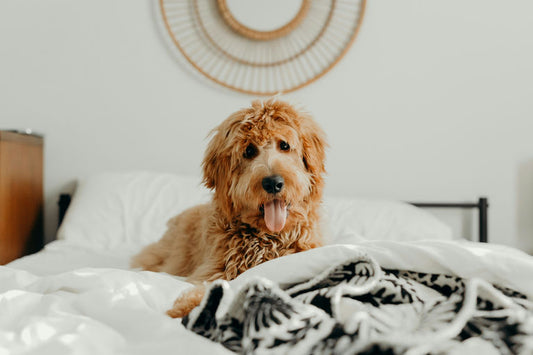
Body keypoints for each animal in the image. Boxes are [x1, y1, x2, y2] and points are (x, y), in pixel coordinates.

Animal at [131, 98, 326, 318]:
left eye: (284, 145)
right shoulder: (214, 270)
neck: (268, 238)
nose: (273, 183)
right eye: (249, 151)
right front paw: (186, 307)